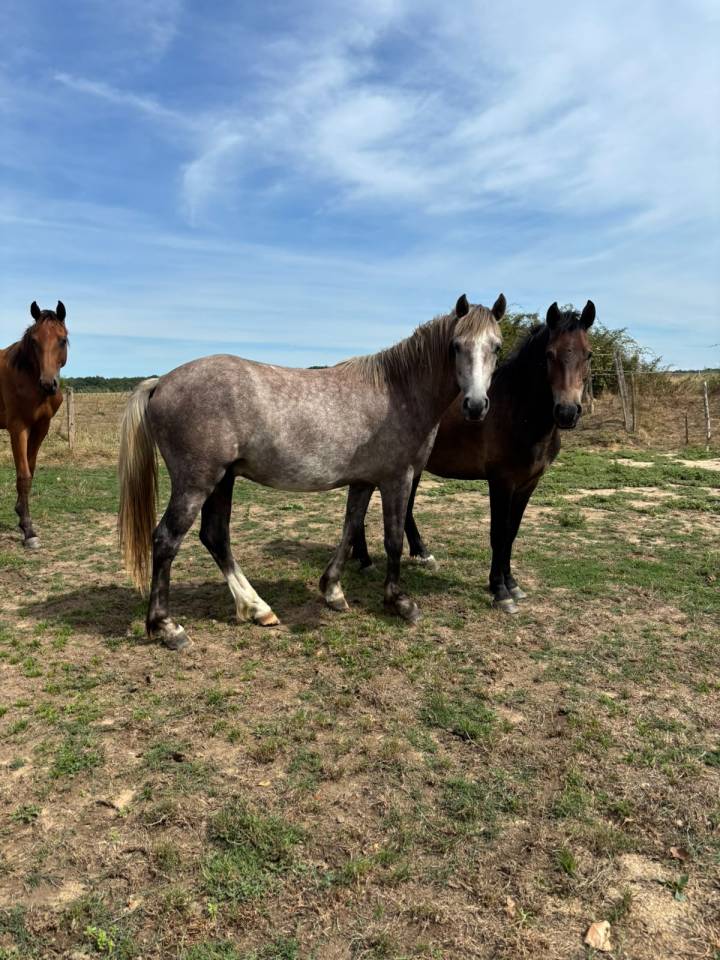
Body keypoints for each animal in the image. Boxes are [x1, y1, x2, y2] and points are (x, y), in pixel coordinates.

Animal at [0, 302, 69, 549]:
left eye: (62, 339)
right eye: (35, 341)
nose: (48, 384)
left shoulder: (41, 427)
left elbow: (30, 468)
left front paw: (22, 518)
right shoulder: (18, 428)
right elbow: (24, 476)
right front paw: (29, 531)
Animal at [118, 293, 506, 650]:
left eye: (497, 347)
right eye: (456, 346)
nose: (475, 405)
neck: (398, 392)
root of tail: (160, 382)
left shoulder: (363, 481)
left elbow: (349, 530)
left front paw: (332, 590)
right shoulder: (397, 479)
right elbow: (393, 540)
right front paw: (399, 601)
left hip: (222, 480)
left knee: (215, 537)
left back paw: (257, 609)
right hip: (196, 482)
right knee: (166, 540)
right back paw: (168, 627)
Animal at [347, 300, 595, 613]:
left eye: (588, 354)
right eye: (550, 355)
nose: (567, 412)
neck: (517, 410)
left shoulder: (528, 484)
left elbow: (512, 533)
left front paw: (512, 584)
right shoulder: (501, 482)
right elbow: (498, 534)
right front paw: (500, 591)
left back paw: (421, 554)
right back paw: (365, 559)